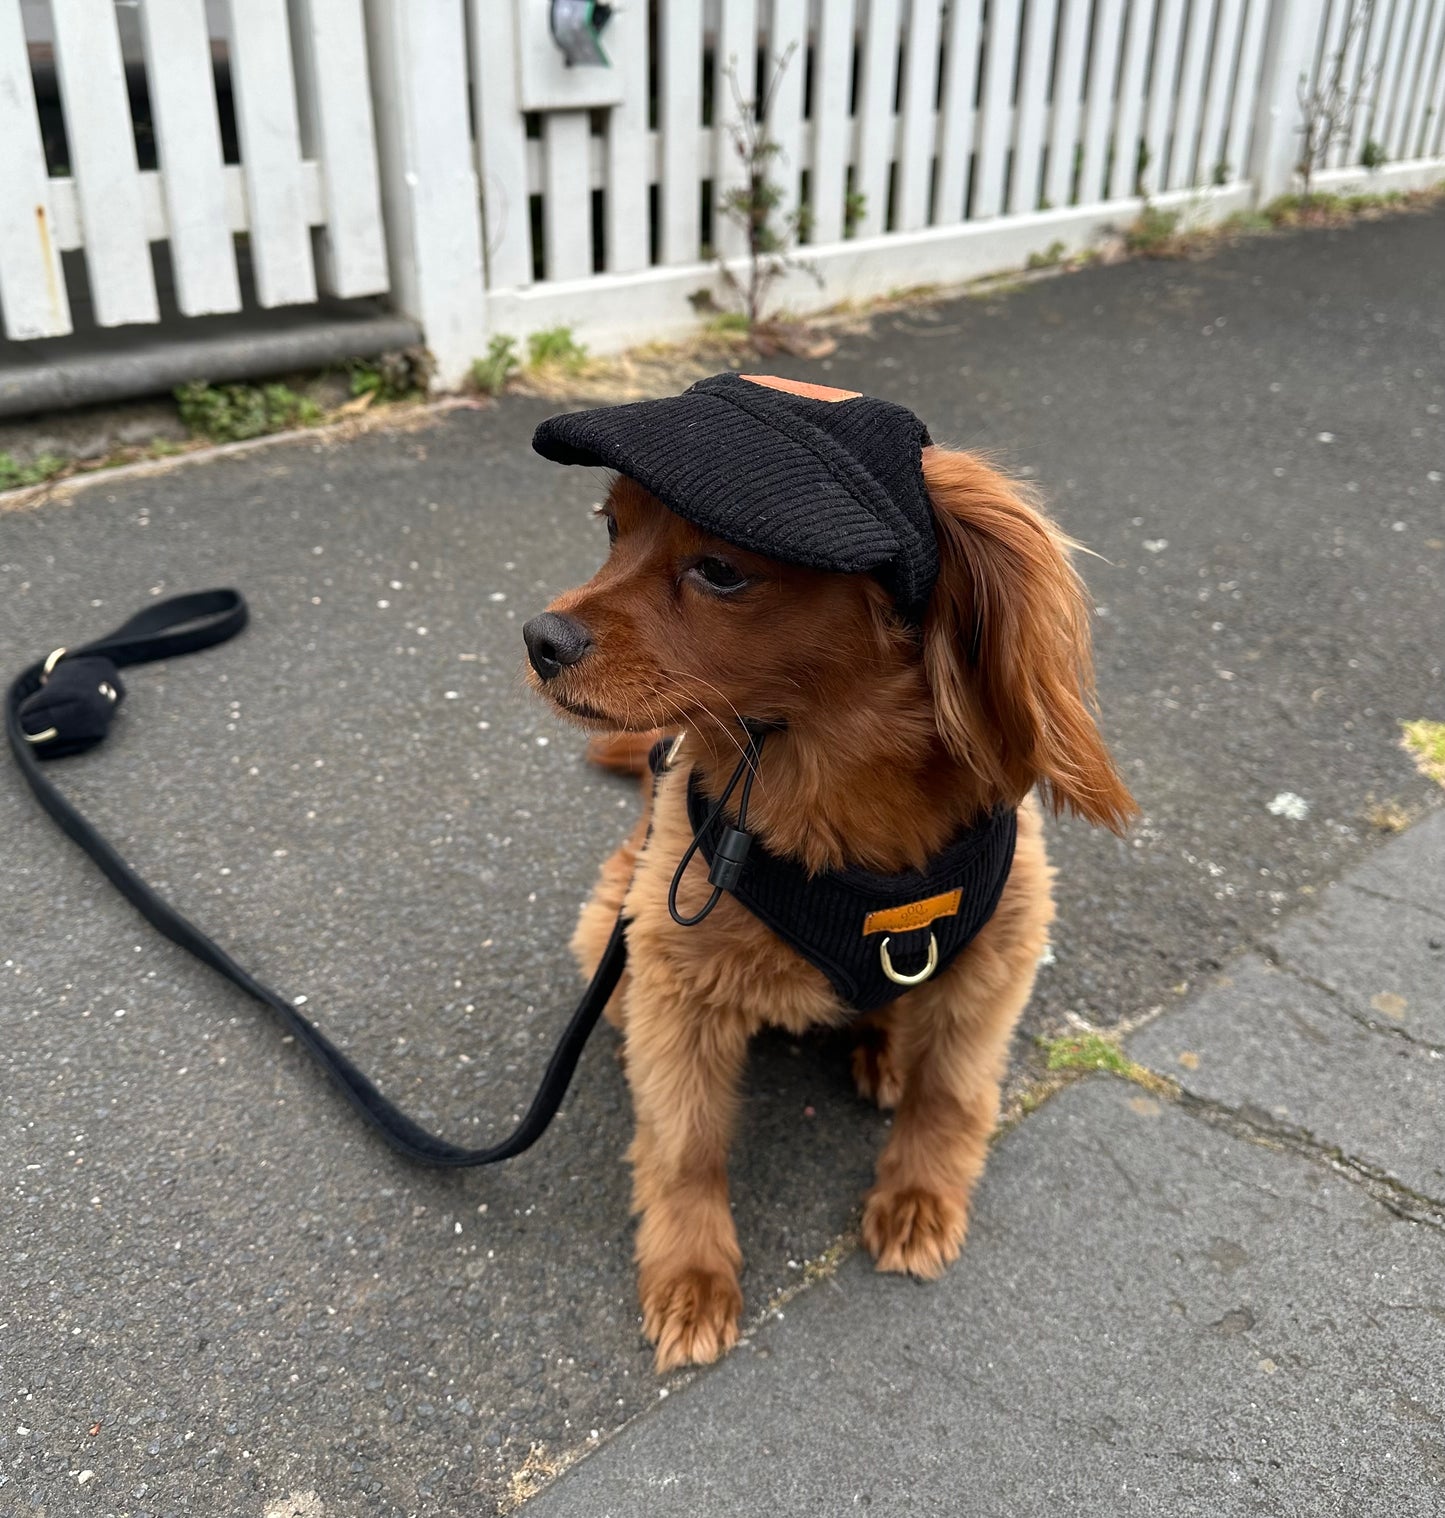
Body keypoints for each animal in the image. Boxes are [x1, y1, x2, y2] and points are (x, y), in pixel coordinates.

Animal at [525, 373, 1135, 1372]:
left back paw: (883, 1047)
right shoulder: (674, 989)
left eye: (720, 570)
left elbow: (947, 1093)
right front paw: (691, 1275)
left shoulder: (996, 960)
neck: (828, 789)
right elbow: (684, 1144)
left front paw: (920, 1197)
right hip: (605, 924)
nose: (539, 639)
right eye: (611, 528)